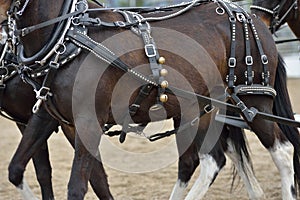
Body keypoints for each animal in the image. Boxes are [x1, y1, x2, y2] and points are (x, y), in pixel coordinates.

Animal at [2, 0, 300, 199]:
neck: (67, 37)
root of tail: (251, 17)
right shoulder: (45, 116)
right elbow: (17, 168)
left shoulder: (87, 121)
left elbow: (79, 186)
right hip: (202, 108)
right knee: (205, 161)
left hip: (254, 102)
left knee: (281, 152)